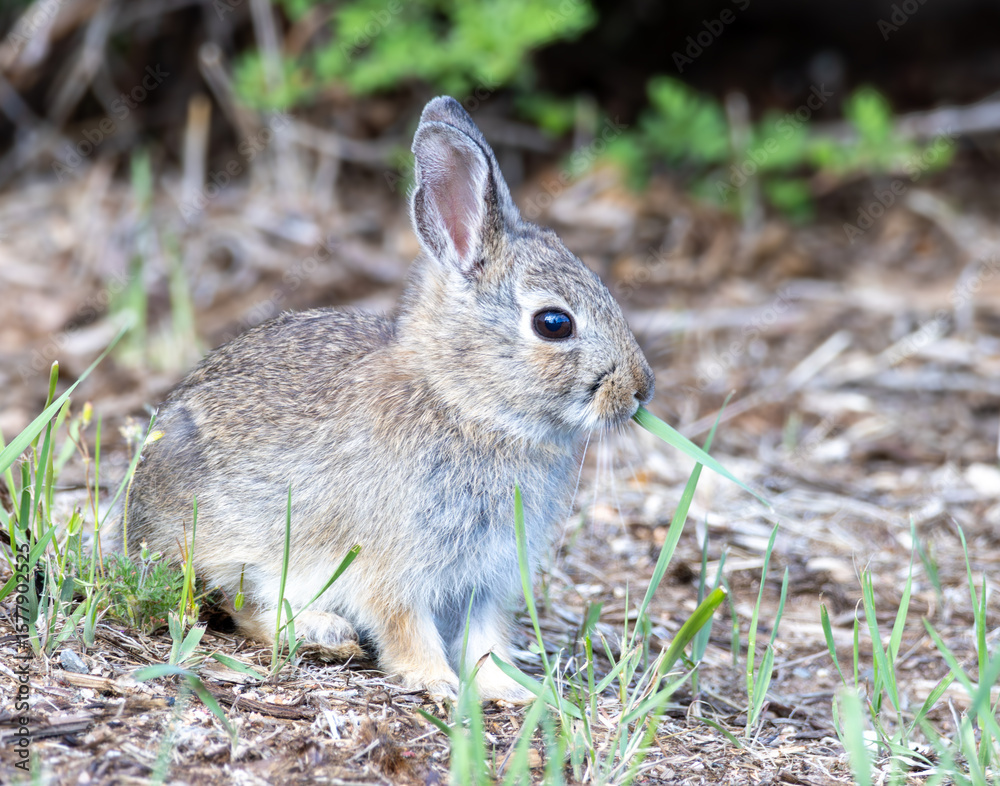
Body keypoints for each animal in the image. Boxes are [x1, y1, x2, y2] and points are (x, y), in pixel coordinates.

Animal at [123, 96, 655, 703]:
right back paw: (325, 634)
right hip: (226, 542)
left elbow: (484, 637)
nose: (640, 390)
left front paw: (509, 689)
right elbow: (404, 624)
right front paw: (435, 682)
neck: (464, 404)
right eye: (554, 323)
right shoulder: (394, 565)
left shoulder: (486, 579)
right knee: (239, 605)